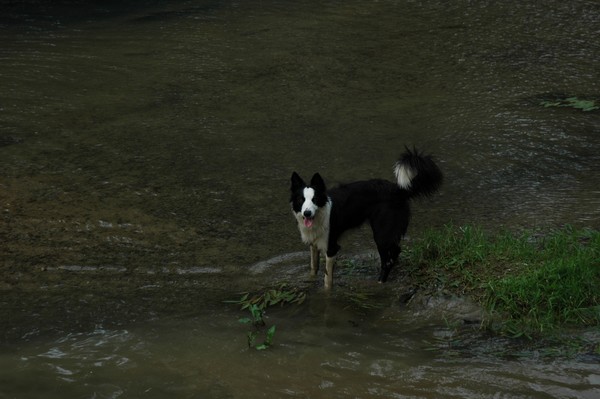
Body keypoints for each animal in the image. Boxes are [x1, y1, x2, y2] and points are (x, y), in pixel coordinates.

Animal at [290, 148, 440, 290]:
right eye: (300, 200)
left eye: (315, 199)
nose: (307, 213)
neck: (320, 213)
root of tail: (399, 190)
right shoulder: (313, 244)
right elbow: (313, 268)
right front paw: (310, 282)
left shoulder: (332, 247)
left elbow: (327, 280)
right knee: (396, 251)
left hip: (381, 233)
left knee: (387, 261)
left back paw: (380, 282)